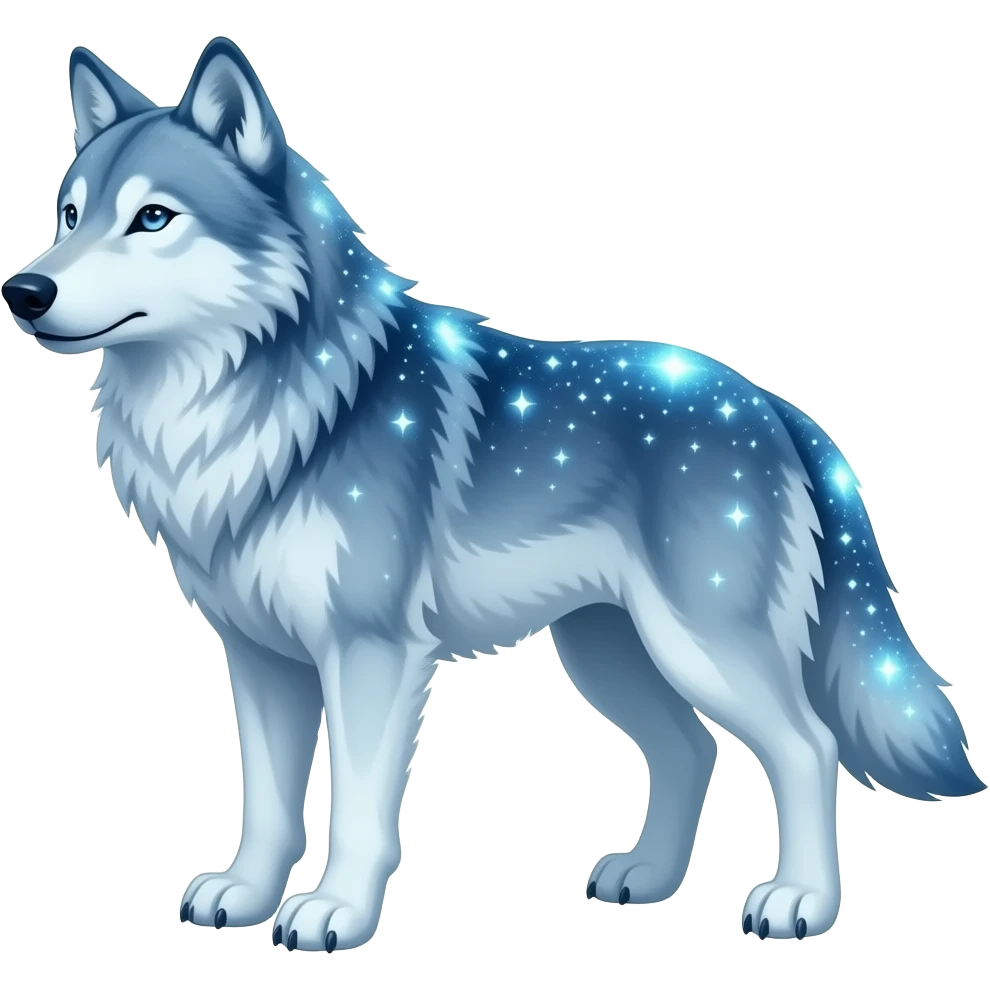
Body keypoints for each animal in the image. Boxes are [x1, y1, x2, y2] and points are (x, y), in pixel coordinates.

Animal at [2, 36, 983, 953]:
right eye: (70, 215)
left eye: (152, 218)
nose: (24, 290)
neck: (262, 406)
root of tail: (775, 406)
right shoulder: (261, 657)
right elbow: (269, 803)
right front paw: (245, 897)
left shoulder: (370, 652)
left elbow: (357, 808)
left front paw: (334, 913)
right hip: (610, 653)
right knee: (691, 747)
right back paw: (648, 879)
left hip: (704, 646)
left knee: (808, 748)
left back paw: (801, 902)